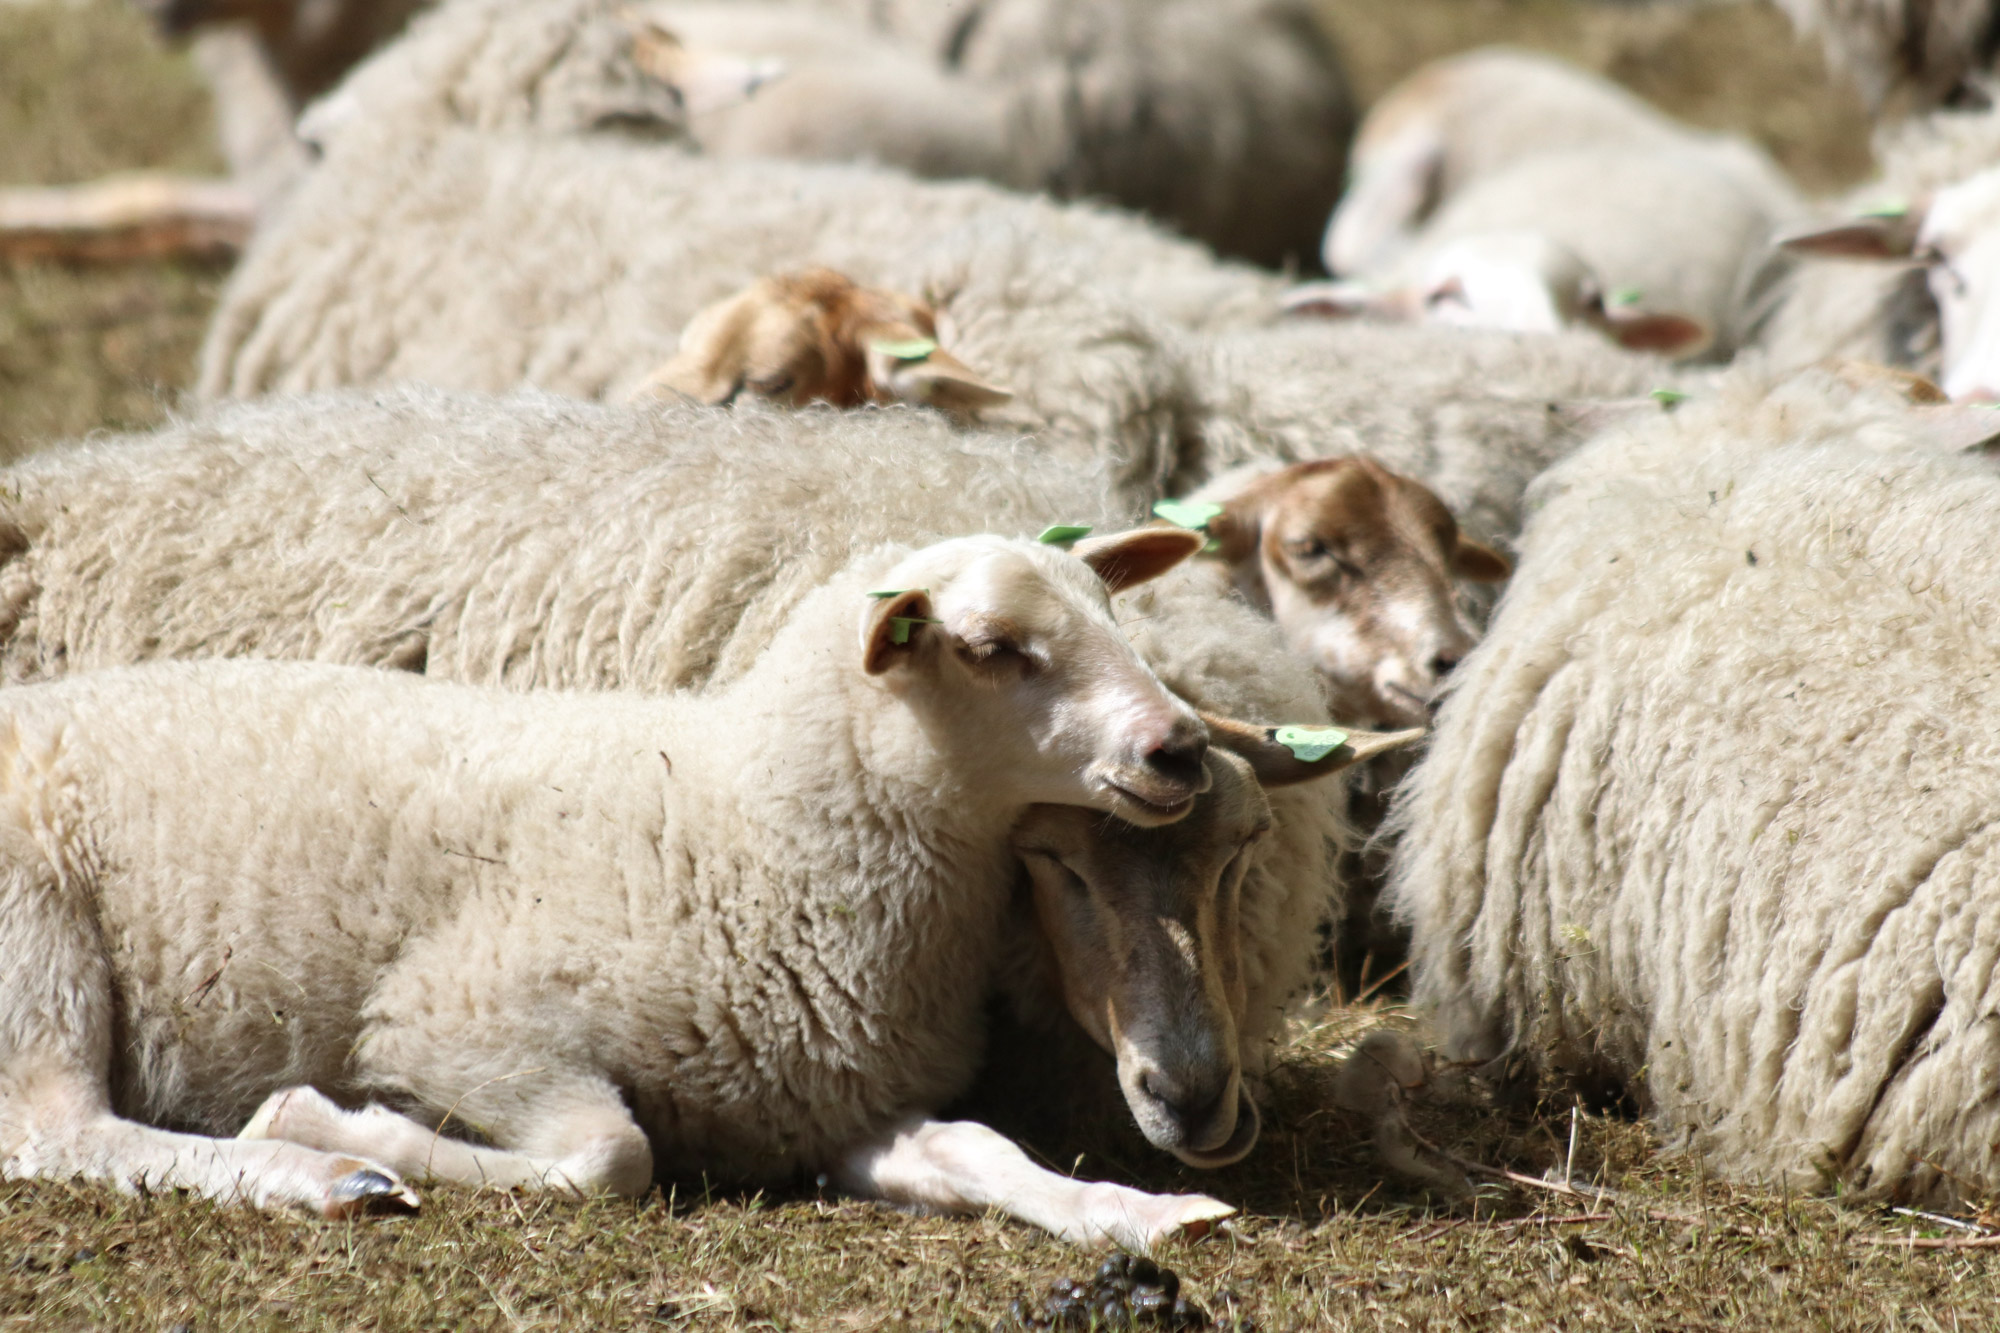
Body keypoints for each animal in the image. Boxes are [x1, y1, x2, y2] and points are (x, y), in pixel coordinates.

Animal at [0, 520, 1368, 1248]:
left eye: (1111, 614)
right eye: (994, 650)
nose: (1177, 746)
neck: (742, 825)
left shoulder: (829, 1096)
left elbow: (972, 1149)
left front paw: (1136, 1215)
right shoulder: (454, 1022)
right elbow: (611, 1155)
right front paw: (334, 1126)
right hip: (36, 937)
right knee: (56, 1131)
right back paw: (313, 1177)